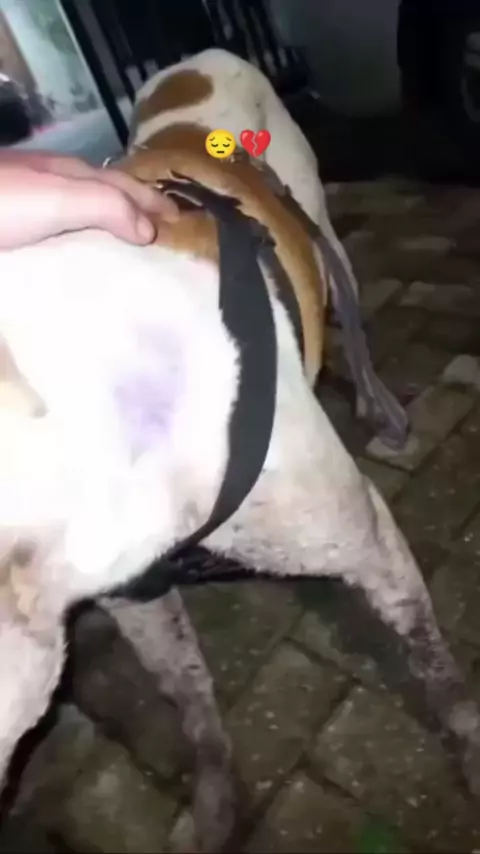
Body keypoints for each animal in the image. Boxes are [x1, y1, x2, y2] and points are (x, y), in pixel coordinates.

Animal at [0, 47, 480, 852]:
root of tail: (201, 57)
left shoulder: (366, 538)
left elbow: (432, 661)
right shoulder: (137, 597)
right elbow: (191, 698)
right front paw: (216, 798)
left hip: (320, 225)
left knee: (347, 311)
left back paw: (375, 401)